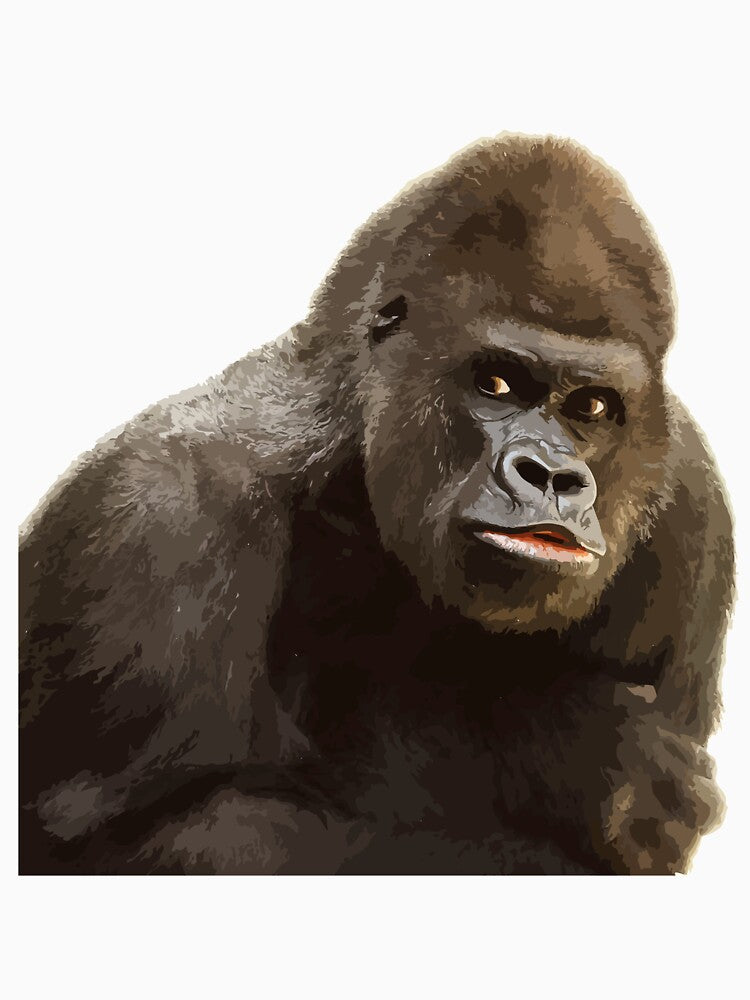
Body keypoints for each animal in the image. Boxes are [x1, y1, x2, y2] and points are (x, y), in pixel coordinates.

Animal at [19, 134, 734, 874]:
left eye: (591, 407)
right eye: (495, 383)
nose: (551, 477)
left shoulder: (691, 507)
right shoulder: (158, 518)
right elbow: (171, 836)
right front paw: (561, 749)